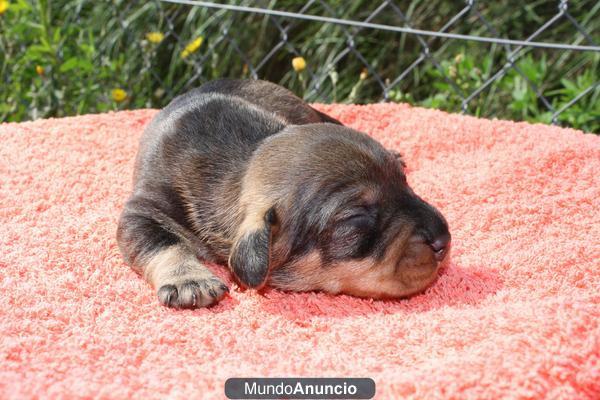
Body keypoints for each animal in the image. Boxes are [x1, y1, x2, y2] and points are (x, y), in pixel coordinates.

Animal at [116, 79, 450, 310]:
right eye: (355, 219)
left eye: (405, 183)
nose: (444, 240)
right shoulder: (143, 210)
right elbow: (163, 242)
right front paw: (189, 280)